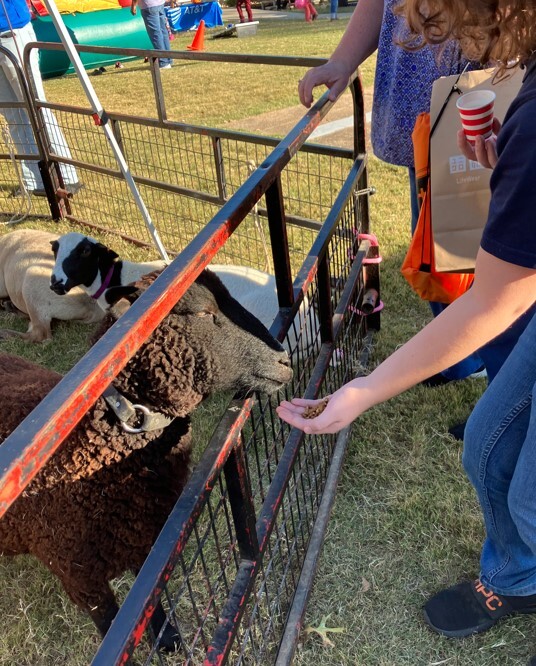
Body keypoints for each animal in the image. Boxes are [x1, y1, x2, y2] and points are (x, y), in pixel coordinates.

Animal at [0, 268, 294, 644]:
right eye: (202, 311)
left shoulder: (145, 547)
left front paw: (168, 641)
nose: (284, 361)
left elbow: (152, 606)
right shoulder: (79, 576)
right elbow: (109, 623)